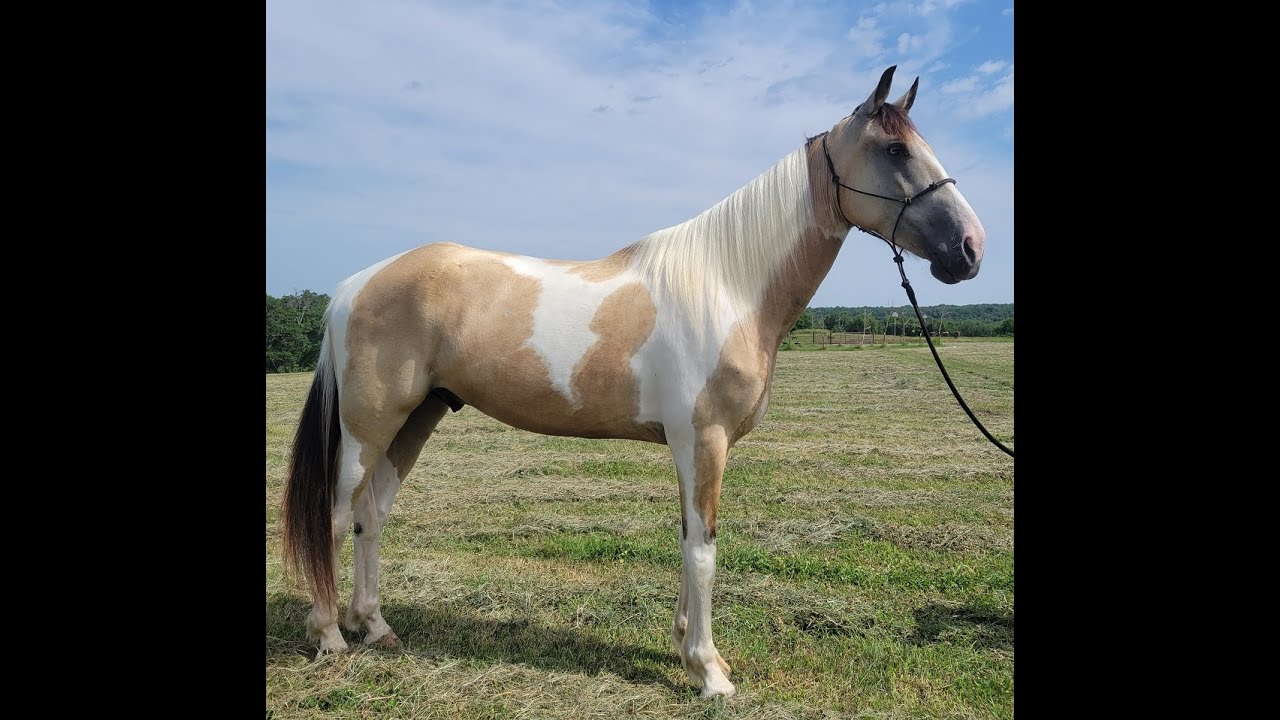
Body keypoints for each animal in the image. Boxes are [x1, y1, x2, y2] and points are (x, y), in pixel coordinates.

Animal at [282, 66, 986, 699]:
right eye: (895, 149)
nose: (971, 248)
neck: (727, 285)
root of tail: (353, 286)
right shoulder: (704, 441)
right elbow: (704, 549)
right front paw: (710, 674)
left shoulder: (690, 447)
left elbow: (686, 538)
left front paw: (685, 650)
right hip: (368, 425)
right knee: (337, 516)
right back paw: (330, 636)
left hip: (416, 418)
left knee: (372, 513)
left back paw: (376, 628)